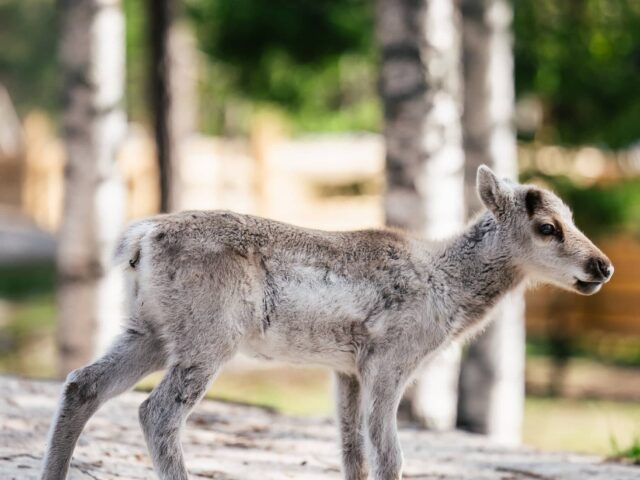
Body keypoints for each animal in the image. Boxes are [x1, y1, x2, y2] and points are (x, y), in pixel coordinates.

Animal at [41, 165, 613, 480]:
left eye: (573, 217)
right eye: (548, 227)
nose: (602, 266)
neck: (448, 290)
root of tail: (138, 239)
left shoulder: (346, 369)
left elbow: (351, 453)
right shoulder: (390, 360)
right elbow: (389, 455)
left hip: (150, 331)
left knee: (82, 384)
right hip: (207, 337)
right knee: (156, 412)